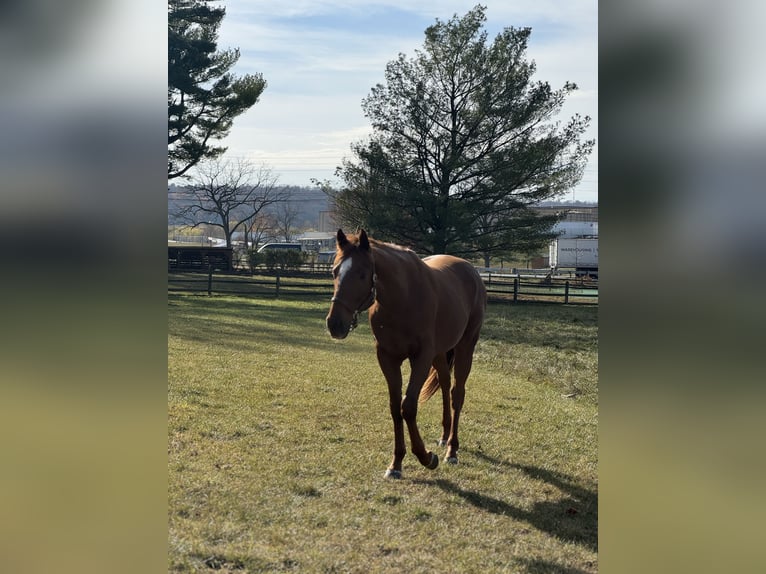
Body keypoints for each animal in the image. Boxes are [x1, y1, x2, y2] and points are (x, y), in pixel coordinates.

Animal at [326, 232, 486, 480]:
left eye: (362, 274)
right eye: (334, 271)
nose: (335, 324)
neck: (403, 298)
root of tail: (470, 270)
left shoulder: (420, 358)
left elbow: (408, 406)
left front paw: (426, 457)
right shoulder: (387, 358)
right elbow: (395, 408)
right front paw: (396, 464)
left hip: (465, 346)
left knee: (456, 394)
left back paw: (452, 450)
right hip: (440, 353)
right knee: (445, 383)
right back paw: (444, 436)